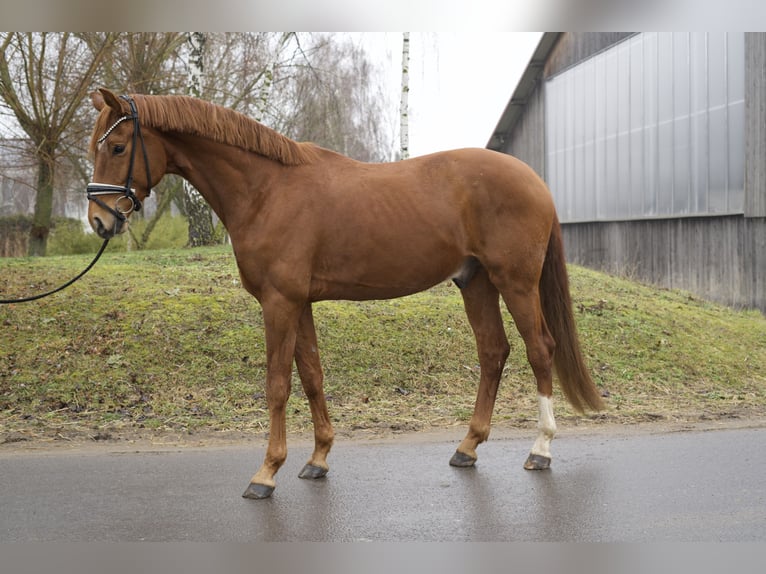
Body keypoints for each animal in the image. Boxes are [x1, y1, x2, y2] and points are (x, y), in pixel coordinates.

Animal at [88, 89, 608, 500]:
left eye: (117, 146)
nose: (99, 220)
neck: (266, 191)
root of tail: (534, 179)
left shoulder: (279, 303)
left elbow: (278, 385)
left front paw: (266, 473)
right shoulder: (299, 304)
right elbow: (312, 376)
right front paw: (317, 459)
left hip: (515, 282)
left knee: (540, 350)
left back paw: (540, 448)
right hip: (475, 282)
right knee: (493, 352)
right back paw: (468, 447)